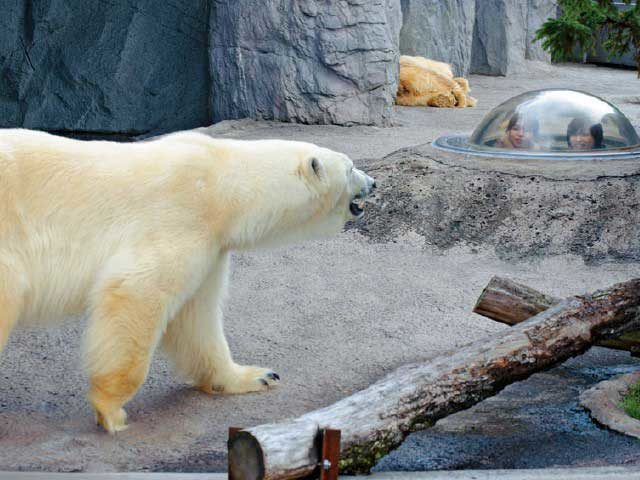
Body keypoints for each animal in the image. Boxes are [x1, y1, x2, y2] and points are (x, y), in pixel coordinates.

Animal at [0, 129, 376, 434]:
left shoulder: (211, 246)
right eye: (350, 167)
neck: (221, 183)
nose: (373, 183)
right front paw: (111, 410)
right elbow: (138, 291)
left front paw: (255, 376)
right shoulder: (182, 217)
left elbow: (197, 319)